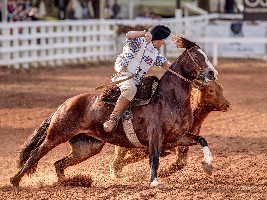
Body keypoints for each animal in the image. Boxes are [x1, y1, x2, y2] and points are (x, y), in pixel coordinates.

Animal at [11, 36, 220, 189]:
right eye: (197, 56)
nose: (212, 73)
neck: (169, 99)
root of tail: (65, 103)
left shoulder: (176, 137)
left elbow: (202, 140)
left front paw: (208, 165)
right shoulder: (155, 136)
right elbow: (154, 158)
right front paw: (153, 182)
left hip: (88, 146)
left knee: (58, 164)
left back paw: (74, 182)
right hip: (56, 136)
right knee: (35, 154)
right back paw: (14, 181)